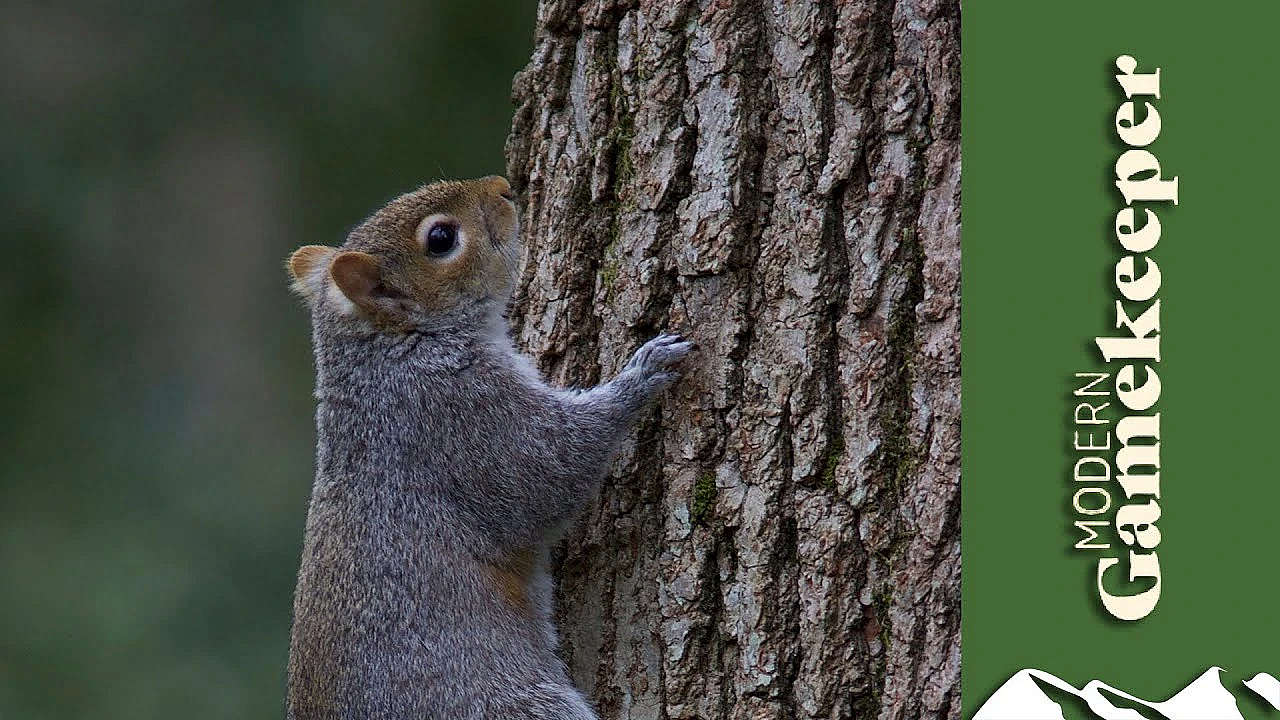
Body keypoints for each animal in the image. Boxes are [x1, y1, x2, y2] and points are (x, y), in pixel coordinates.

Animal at [284, 175, 694, 720]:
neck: (394, 352)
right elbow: (552, 470)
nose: (502, 187)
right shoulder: (464, 416)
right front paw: (643, 374)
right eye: (440, 239)